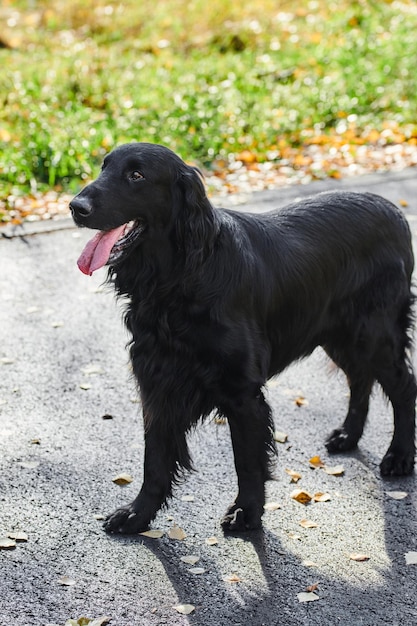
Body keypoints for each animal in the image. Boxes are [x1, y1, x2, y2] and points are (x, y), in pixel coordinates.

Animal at [70, 141, 414, 532]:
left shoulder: (242, 393)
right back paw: (348, 435)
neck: (178, 278)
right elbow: (154, 459)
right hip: (341, 337)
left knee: (404, 387)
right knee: (360, 380)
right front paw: (138, 514)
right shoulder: (157, 382)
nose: (76, 207)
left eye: (137, 175)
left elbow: (247, 462)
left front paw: (246, 512)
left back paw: (400, 455)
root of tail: (396, 213)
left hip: (375, 336)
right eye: (104, 167)